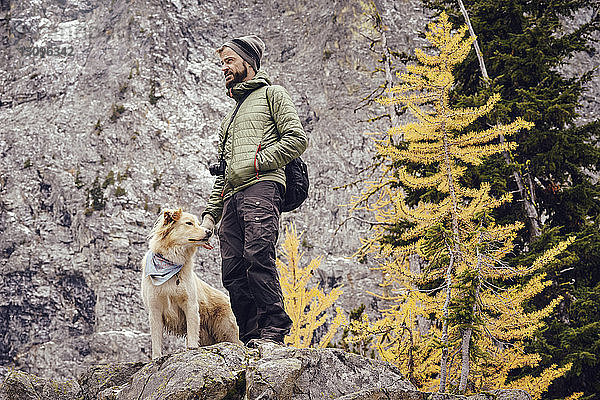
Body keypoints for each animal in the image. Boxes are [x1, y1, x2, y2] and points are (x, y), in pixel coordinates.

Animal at [141, 208, 241, 358]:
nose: (209, 232)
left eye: (198, 223)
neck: (172, 261)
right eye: (189, 223)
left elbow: (192, 330)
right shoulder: (155, 308)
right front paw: (156, 357)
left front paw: (192, 348)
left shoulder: (190, 304)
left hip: (227, 330)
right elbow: (156, 338)